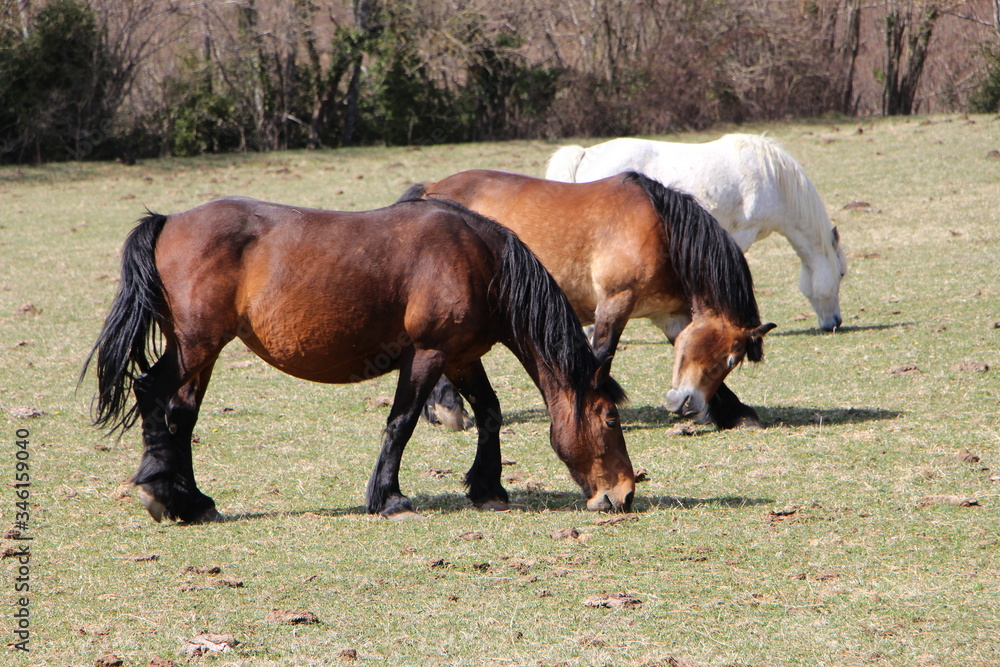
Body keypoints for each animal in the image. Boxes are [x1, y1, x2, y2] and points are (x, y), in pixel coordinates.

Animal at [80, 196, 635, 522]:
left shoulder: (461, 357)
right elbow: (401, 423)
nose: (624, 495)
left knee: (181, 414)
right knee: (152, 394)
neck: (479, 258)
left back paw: (191, 501)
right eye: (610, 419)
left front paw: (487, 487)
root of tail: (168, 222)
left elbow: (490, 414)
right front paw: (390, 498)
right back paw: (160, 491)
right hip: (196, 346)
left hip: (202, 352)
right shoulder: (428, 354)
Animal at [402, 170, 776, 432]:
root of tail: (431, 189)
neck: (662, 229)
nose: (685, 403)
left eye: (731, 362)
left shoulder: (671, 316)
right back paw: (450, 408)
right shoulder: (616, 301)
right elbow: (603, 352)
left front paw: (737, 412)